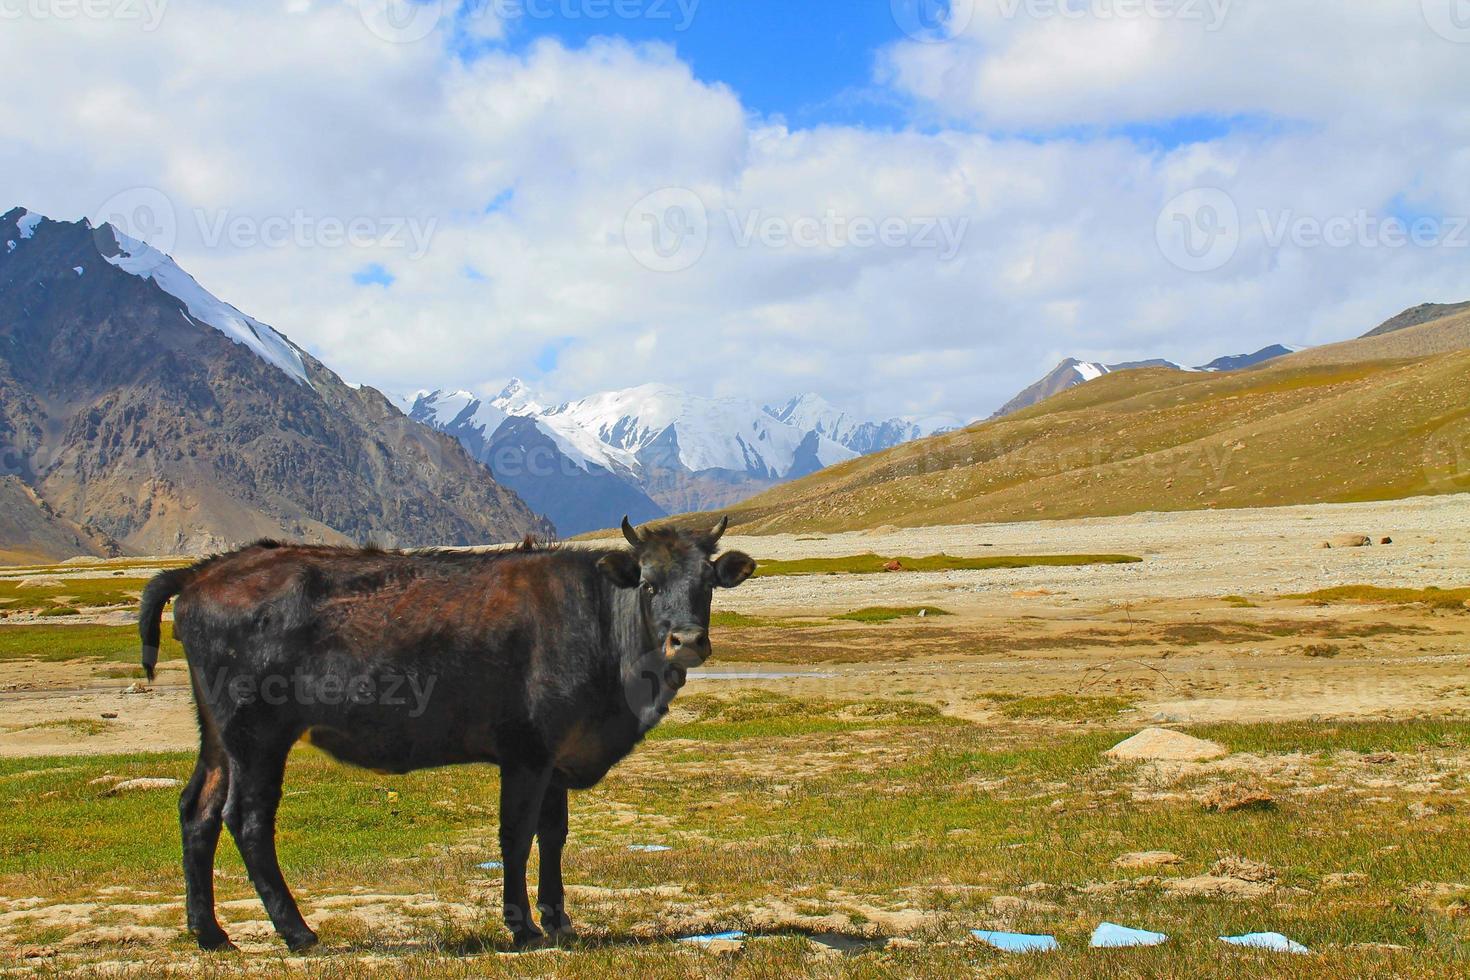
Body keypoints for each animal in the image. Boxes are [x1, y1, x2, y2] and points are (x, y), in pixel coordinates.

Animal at [135, 517, 758, 952]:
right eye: (649, 585)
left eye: (707, 583)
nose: (687, 641)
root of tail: (205, 569)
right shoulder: (525, 753)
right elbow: (517, 835)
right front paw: (522, 927)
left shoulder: (559, 756)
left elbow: (554, 835)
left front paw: (559, 920)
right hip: (257, 736)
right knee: (247, 819)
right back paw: (298, 932)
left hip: (218, 736)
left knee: (197, 811)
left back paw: (212, 934)